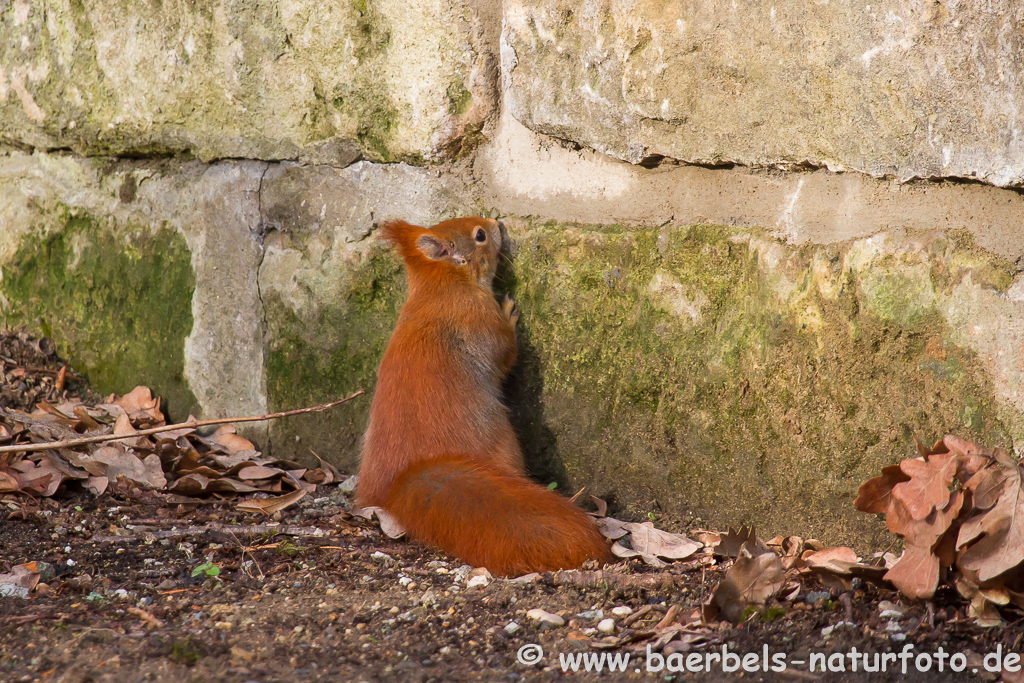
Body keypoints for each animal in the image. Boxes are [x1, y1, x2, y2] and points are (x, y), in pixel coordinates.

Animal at [356, 218, 610, 577]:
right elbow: (506, 354)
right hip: (505, 444)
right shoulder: (482, 319)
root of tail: (395, 484)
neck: (441, 288)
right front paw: (510, 314)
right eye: (479, 235)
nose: (495, 222)